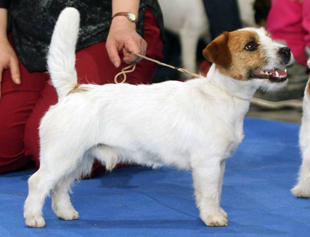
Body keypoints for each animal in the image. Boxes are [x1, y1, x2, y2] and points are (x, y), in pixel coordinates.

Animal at [23, 7, 290, 228]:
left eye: (268, 37)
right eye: (250, 46)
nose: (286, 50)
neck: (222, 94)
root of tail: (73, 90)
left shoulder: (220, 164)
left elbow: (217, 191)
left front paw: (217, 213)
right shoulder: (207, 164)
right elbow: (209, 193)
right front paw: (212, 217)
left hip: (81, 159)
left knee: (60, 187)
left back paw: (65, 213)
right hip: (61, 156)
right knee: (38, 182)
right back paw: (33, 218)